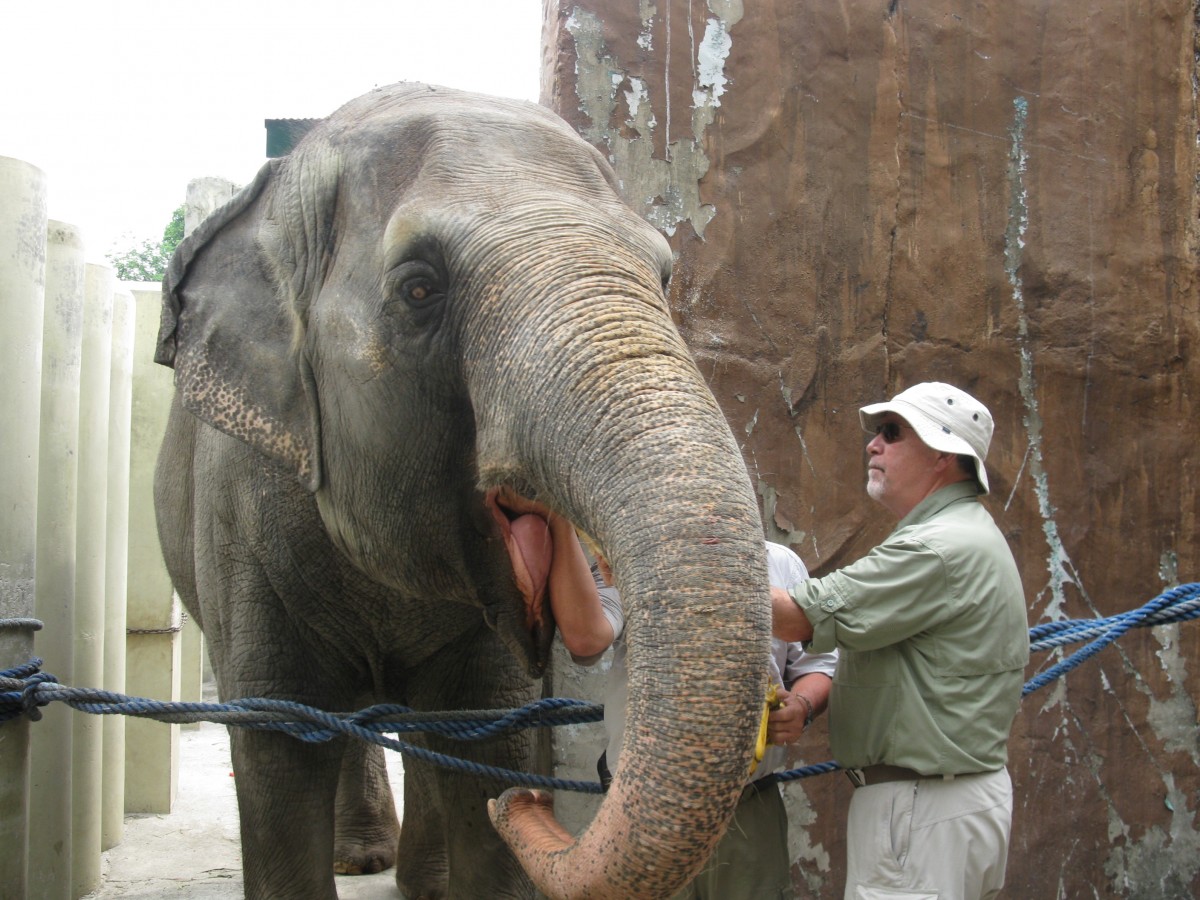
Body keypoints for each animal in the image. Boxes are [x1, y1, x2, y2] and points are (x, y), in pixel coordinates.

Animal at [154, 81, 768, 897]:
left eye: (664, 277)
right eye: (420, 287)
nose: (527, 807)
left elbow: (485, 732)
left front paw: (491, 807)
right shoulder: (240, 519)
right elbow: (280, 746)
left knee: (424, 728)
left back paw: (417, 877)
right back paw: (363, 860)